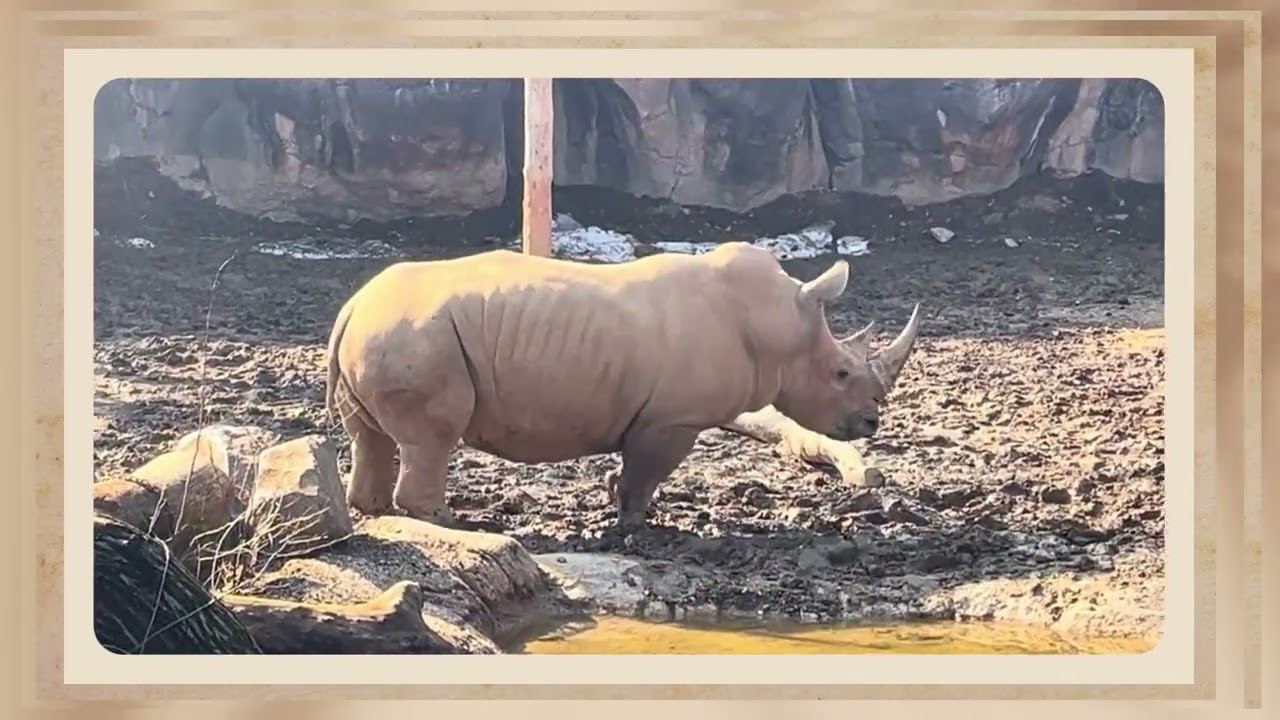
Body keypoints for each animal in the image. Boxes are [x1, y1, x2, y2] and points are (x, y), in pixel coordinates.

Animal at [325, 242, 921, 530]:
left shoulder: (657, 415)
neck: (776, 321)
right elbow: (646, 473)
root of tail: (353, 306)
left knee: (372, 437)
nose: (873, 422)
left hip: (385, 331)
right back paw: (454, 524)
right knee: (431, 439)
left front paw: (622, 508)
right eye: (841, 373)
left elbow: (633, 469)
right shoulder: (675, 417)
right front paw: (639, 523)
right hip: (415, 336)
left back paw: (379, 512)